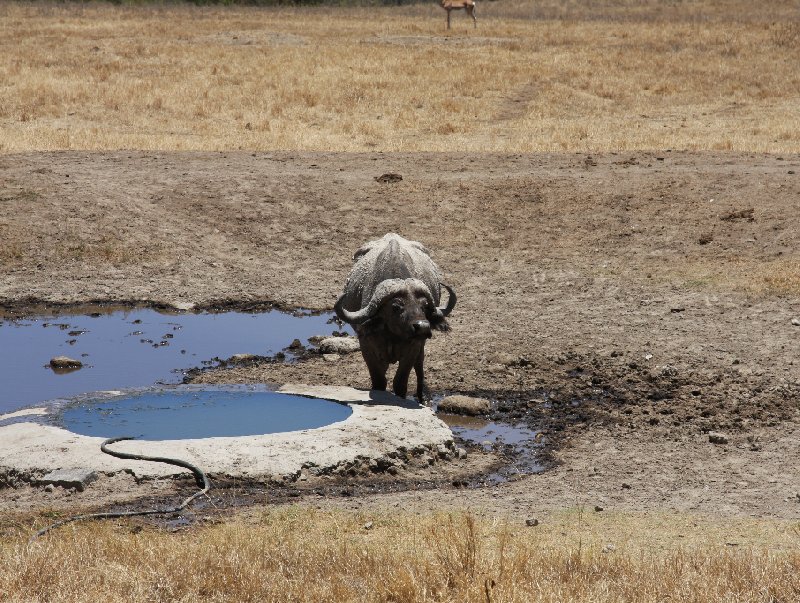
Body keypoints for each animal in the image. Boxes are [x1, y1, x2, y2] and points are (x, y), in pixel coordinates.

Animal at [332, 234, 456, 404]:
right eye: (396, 306)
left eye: (424, 306)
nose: (423, 327)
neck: (393, 336)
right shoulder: (367, 346)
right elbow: (379, 381)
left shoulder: (413, 348)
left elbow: (400, 383)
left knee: (420, 364)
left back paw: (422, 396)